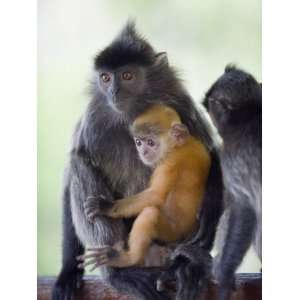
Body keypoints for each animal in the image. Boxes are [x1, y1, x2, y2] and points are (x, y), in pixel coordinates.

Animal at [77, 105, 211, 270]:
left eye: (151, 142)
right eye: (139, 142)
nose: (143, 152)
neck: (179, 146)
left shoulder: (170, 163)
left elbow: (155, 196)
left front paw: (106, 206)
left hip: (170, 233)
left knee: (150, 214)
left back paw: (125, 259)